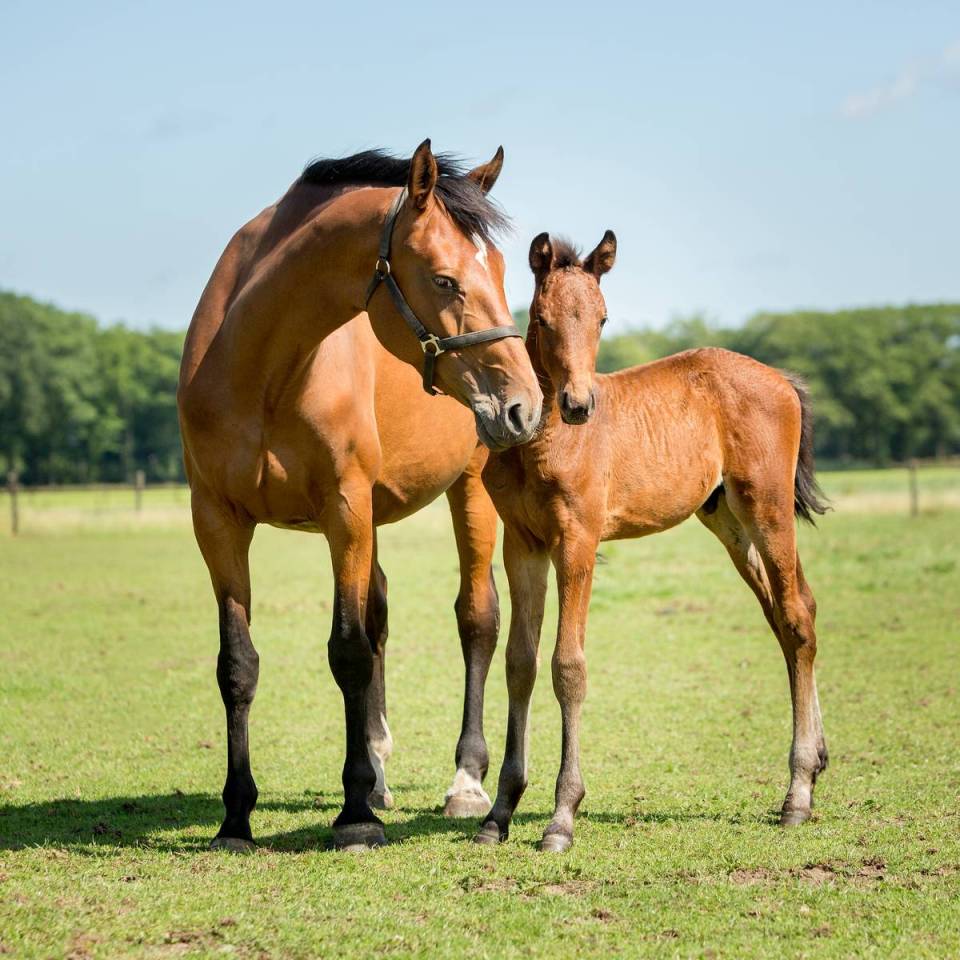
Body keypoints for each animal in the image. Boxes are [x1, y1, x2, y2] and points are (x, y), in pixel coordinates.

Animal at [178, 141, 540, 848]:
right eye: (446, 280)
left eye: (503, 272)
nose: (524, 406)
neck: (262, 366)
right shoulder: (218, 522)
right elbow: (238, 664)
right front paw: (236, 817)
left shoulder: (344, 509)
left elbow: (347, 650)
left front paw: (354, 817)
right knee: (380, 619)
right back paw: (376, 773)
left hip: (470, 490)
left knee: (476, 619)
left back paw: (464, 781)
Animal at [476, 229, 828, 852]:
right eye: (540, 319)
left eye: (602, 318)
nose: (578, 405)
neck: (541, 442)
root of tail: (783, 381)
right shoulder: (522, 544)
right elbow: (520, 662)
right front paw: (500, 811)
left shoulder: (577, 541)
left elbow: (567, 666)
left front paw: (561, 817)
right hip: (727, 520)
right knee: (790, 615)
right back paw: (817, 765)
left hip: (767, 508)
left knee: (797, 617)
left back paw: (797, 796)